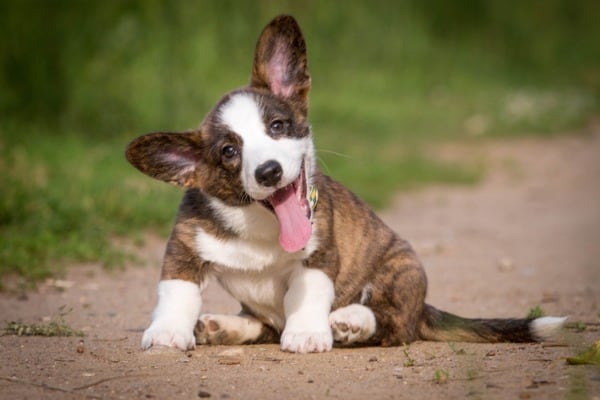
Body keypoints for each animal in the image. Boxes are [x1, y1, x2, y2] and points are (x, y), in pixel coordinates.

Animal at [124, 14, 564, 352]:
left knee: (393, 326)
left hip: (400, 267)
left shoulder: (319, 255)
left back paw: (350, 320)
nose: (268, 172)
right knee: (265, 325)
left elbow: (308, 293)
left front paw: (306, 333)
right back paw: (224, 326)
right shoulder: (183, 247)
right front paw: (168, 332)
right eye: (229, 151)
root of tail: (423, 307)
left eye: (277, 126)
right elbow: (176, 291)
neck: (261, 227)